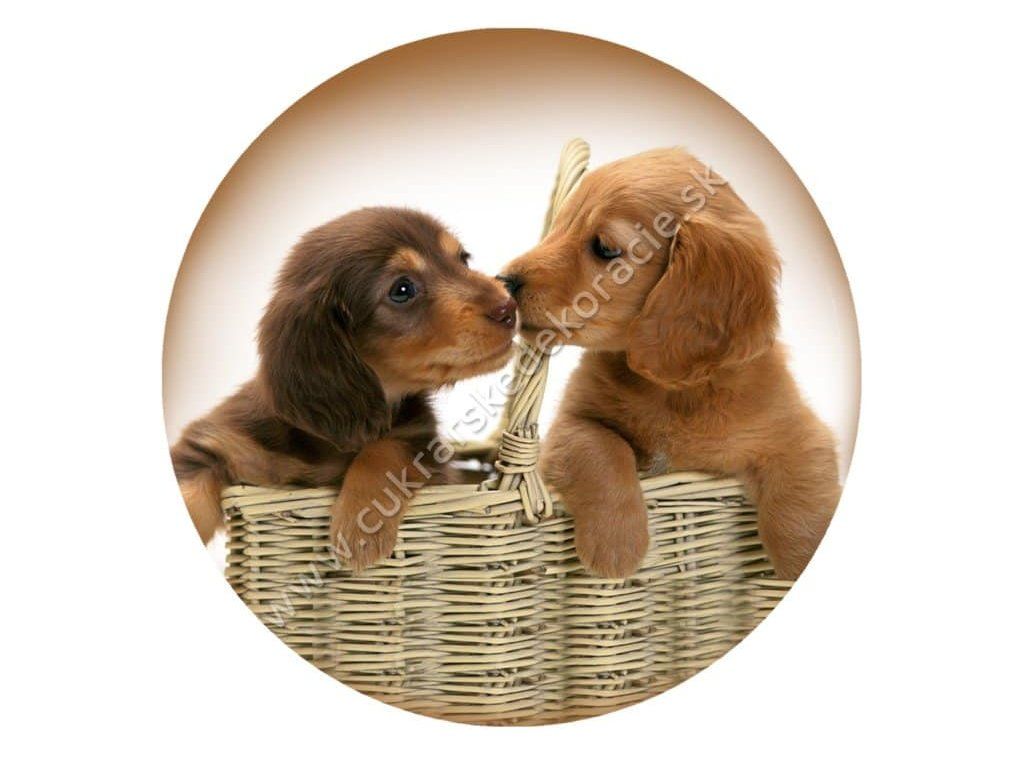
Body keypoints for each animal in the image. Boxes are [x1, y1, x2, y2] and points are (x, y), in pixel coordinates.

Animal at [171, 207, 517, 571]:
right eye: (402, 289)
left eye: (462, 260)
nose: (509, 306)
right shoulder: (220, 441)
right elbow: (190, 490)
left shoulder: (422, 443)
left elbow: (384, 449)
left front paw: (361, 525)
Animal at [499, 148, 840, 580]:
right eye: (559, 227)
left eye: (604, 248)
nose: (504, 281)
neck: (673, 392)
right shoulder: (568, 426)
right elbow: (600, 448)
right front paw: (616, 542)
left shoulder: (801, 432)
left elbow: (802, 496)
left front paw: (799, 563)